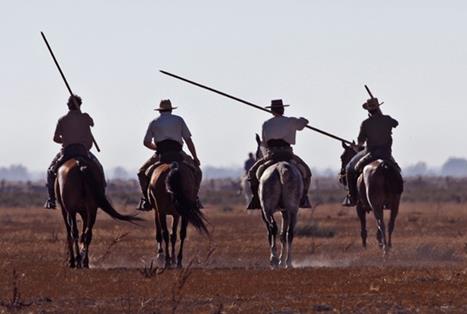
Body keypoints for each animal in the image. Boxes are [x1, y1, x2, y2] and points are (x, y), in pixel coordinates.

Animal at [254, 135, 306, 268]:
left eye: (256, 153)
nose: (256, 157)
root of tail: (280, 168)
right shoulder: (285, 211)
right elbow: (283, 234)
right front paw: (282, 260)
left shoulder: (264, 212)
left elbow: (270, 232)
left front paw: (277, 259)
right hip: (293, 209)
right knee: (290, 232)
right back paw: (288, 262)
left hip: (267, 208)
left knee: (273, 228)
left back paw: (274, 260)